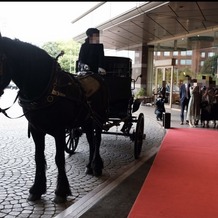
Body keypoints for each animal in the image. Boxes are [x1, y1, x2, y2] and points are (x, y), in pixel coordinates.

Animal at [0, 35, 108, 204]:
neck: (45, 87)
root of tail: (96, 75)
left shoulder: (59, 130)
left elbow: (59, 159)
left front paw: (61, 191)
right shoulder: (36, 130)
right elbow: (38, 158)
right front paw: (37, 189)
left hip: (98, 118)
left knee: (97, 140)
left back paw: (97, 165)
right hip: (86, 120)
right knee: (91, 141)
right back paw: (90, 166)